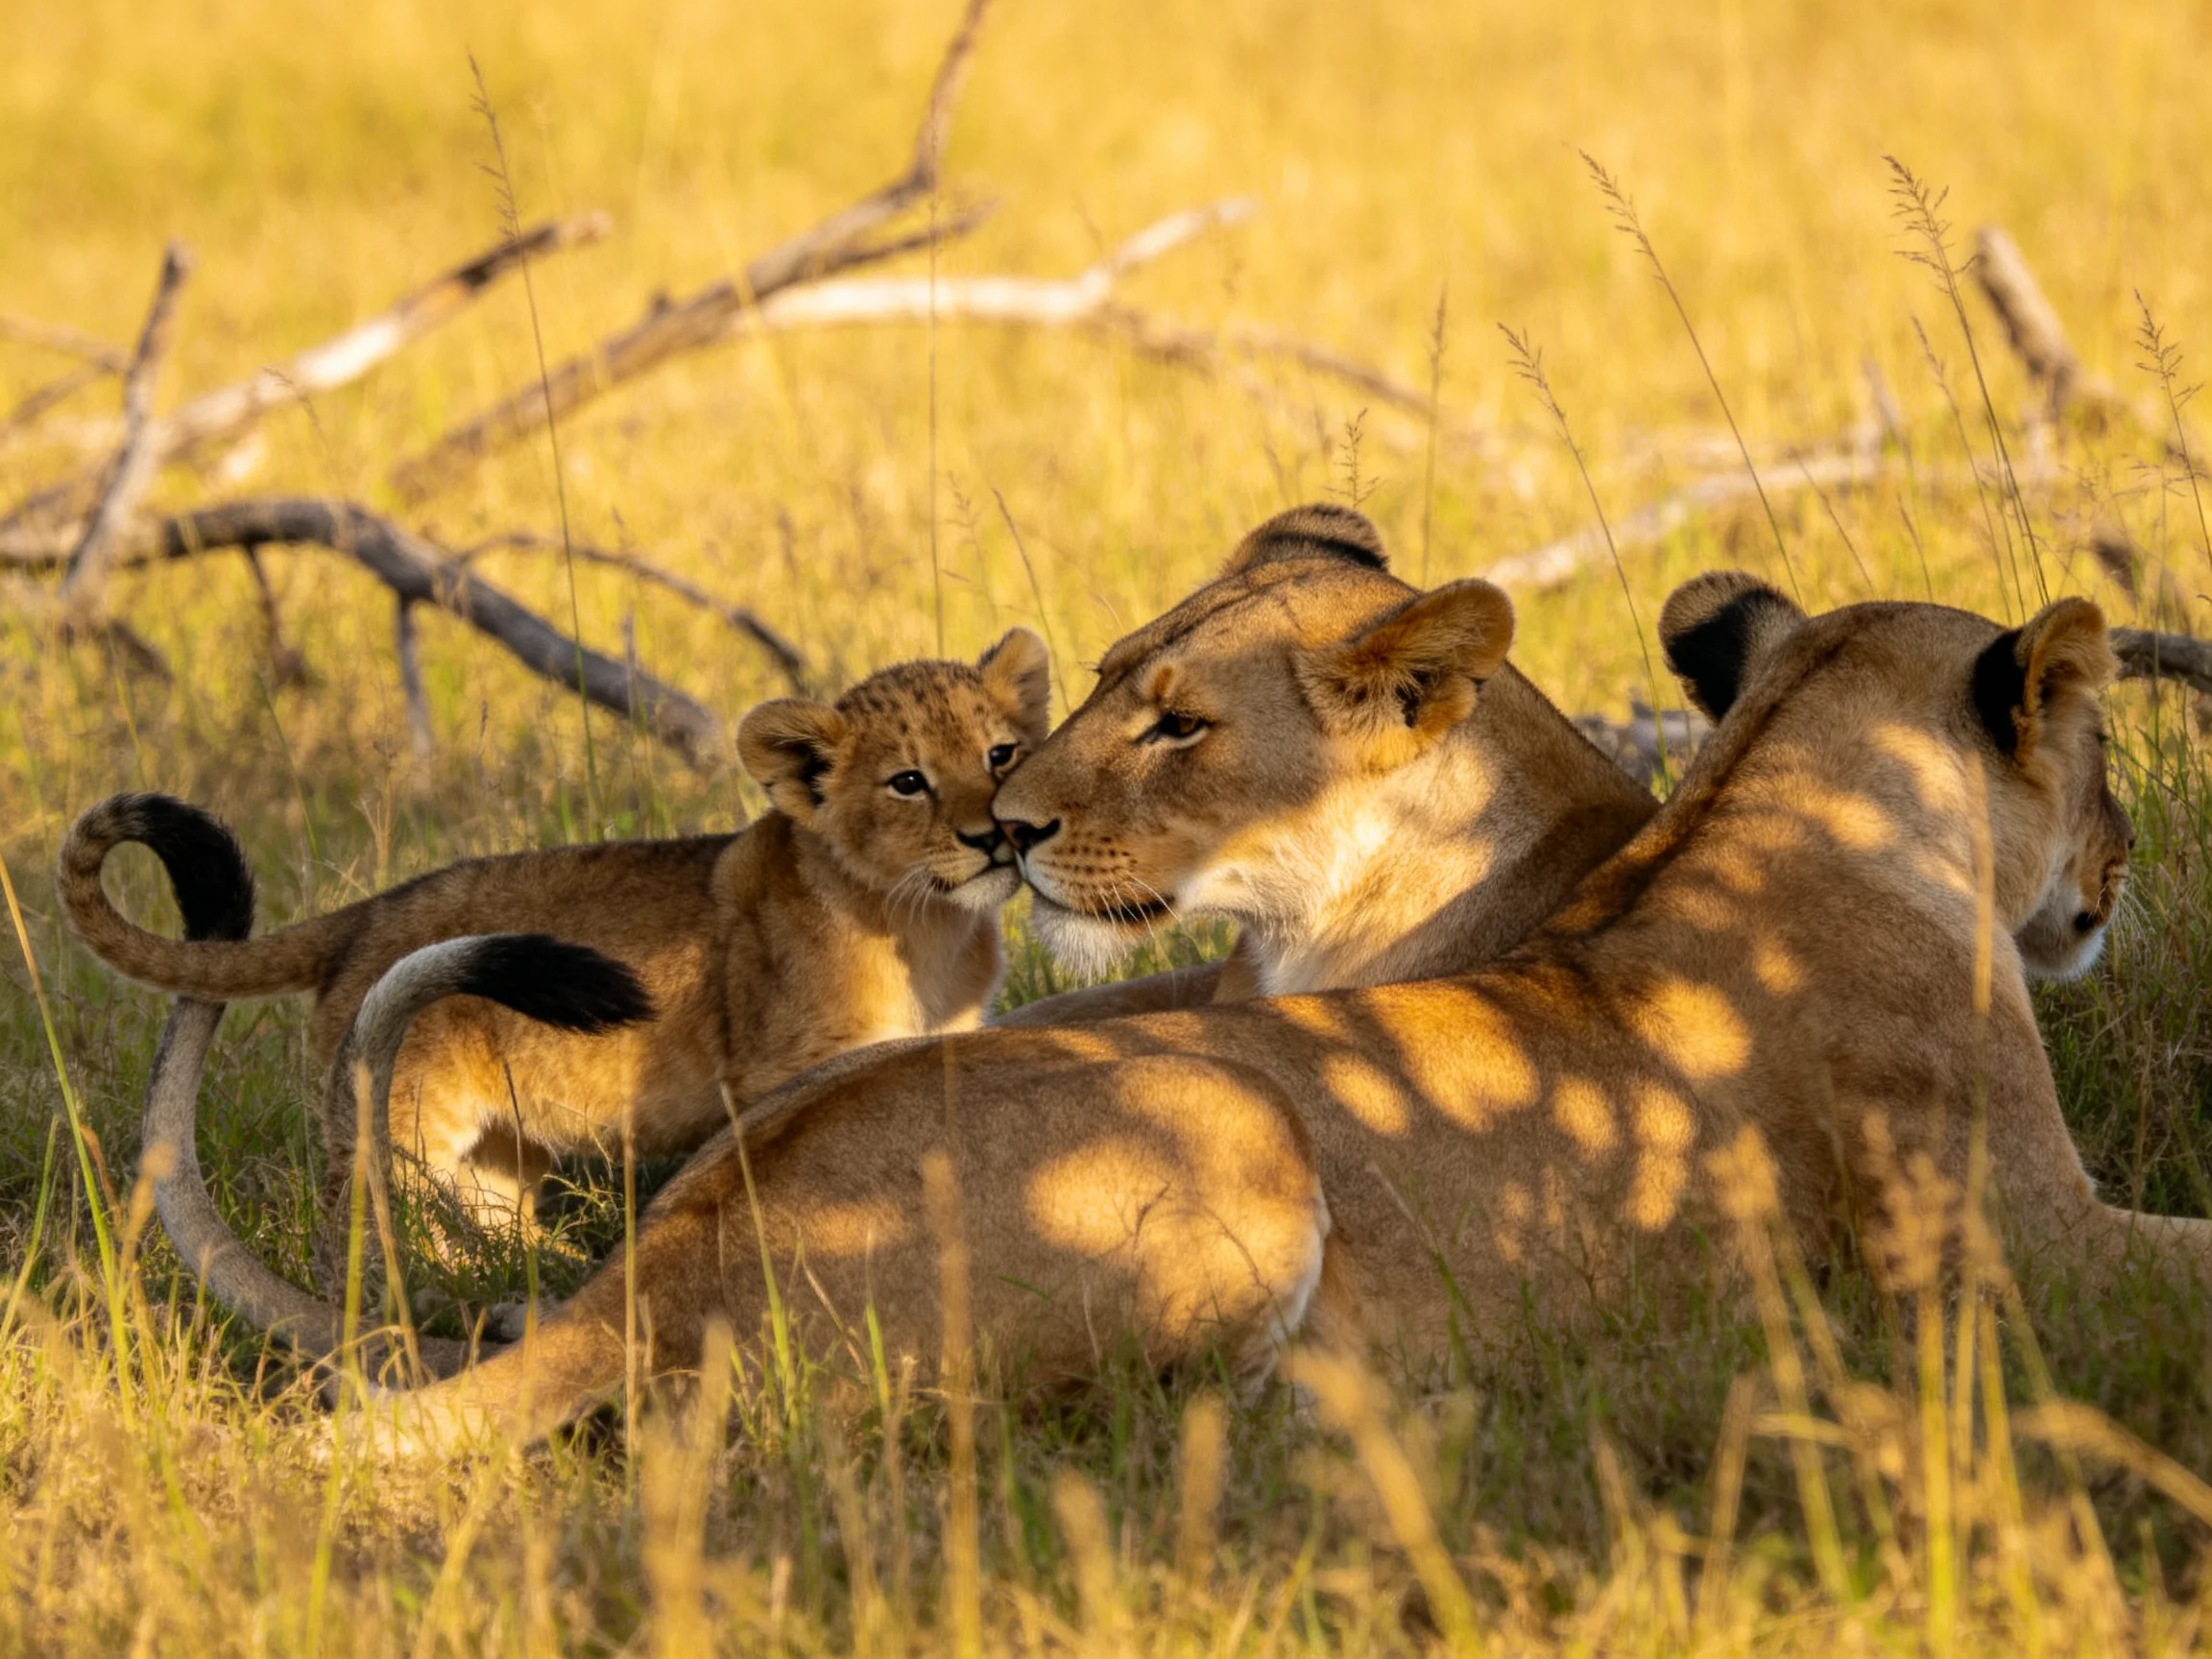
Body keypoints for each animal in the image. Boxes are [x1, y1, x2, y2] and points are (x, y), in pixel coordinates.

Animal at [62, 631, 1051, 1348]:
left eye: (1002, 754)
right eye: (908, 782)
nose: (994, 836)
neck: (927, 927)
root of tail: (359, 917)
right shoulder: (782, 1072)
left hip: (494, 1156)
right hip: (397, 1129)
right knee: (357, 1235)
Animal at [327, 574, 2189, 1454]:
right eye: (2101, 744)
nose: (2117, 865)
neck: (1786, 791)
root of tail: (691, 1235)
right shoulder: (2018, 1254)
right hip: (1229, 1128)